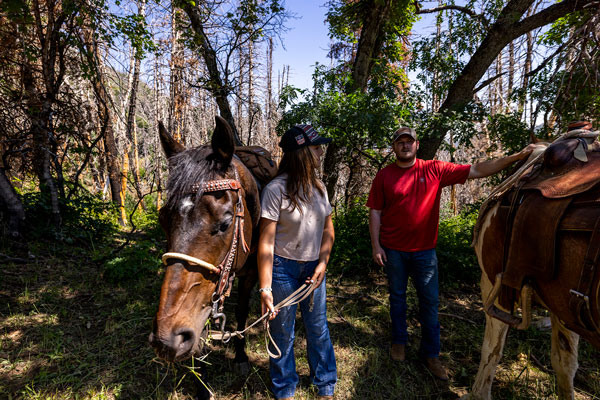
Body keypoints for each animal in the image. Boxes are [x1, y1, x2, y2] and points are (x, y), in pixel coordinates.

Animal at [149, 115, 258, 396]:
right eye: (162, 220)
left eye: (226, 223)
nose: (167, 339)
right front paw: (200, 380)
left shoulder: (250, 275)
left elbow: (242, 310)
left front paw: (240, 356)